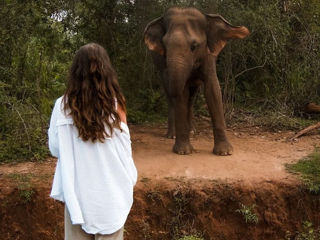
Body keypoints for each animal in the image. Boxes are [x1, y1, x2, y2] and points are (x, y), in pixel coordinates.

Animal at [143, 7, 250, 156]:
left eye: (194, 46)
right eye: (164, 46)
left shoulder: (208, 55)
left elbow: (213, 89)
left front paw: (225, 152)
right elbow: (182, 92)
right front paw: (183, 152)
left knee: (191, 98)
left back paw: (192, 130)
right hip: (159, 68)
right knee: (171, 96)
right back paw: (172, 135)